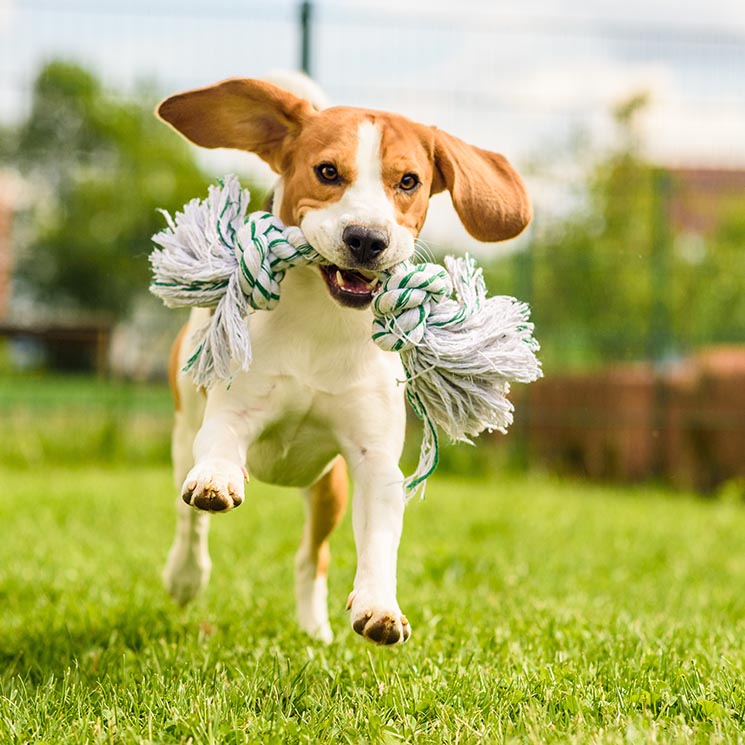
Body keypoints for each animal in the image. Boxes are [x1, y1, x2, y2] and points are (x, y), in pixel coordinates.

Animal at [155, 77, 528, 644]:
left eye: (409, 181)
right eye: (328, 171)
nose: (367, 239)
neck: (322, 326)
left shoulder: (374, 460)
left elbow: (378, 539)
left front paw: (379, 605)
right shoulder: (231, 414)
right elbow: (217, 453)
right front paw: (217, 480)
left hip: (326, 487)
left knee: (313, 557)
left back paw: (314, 630)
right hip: (183, 433)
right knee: (190, 521)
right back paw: (185, 575)